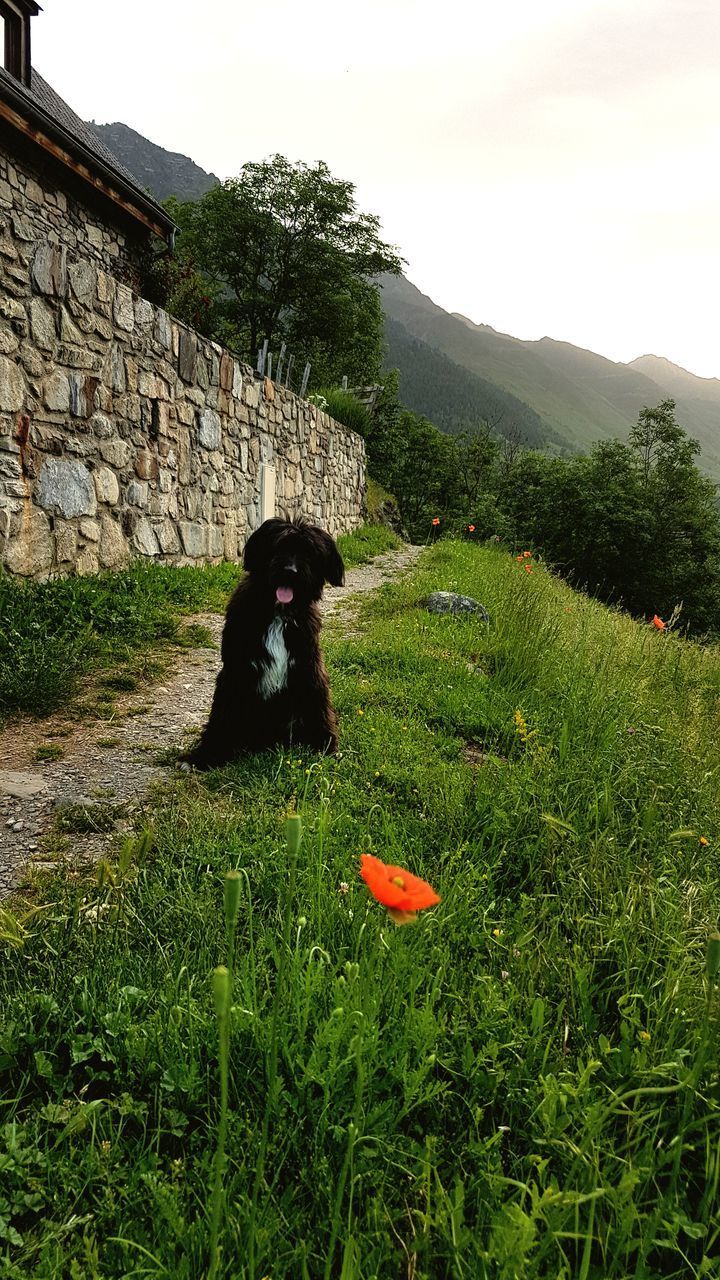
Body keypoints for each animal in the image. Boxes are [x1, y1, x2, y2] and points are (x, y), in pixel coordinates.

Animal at [183, 517, 343, 768]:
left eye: (308, 552)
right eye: (279, 546)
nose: (290, 571)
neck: (278, 614)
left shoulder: (308, 667)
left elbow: (318, 707)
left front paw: (325, 746)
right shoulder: (236, 670)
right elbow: (221, 714)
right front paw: (206, 755)